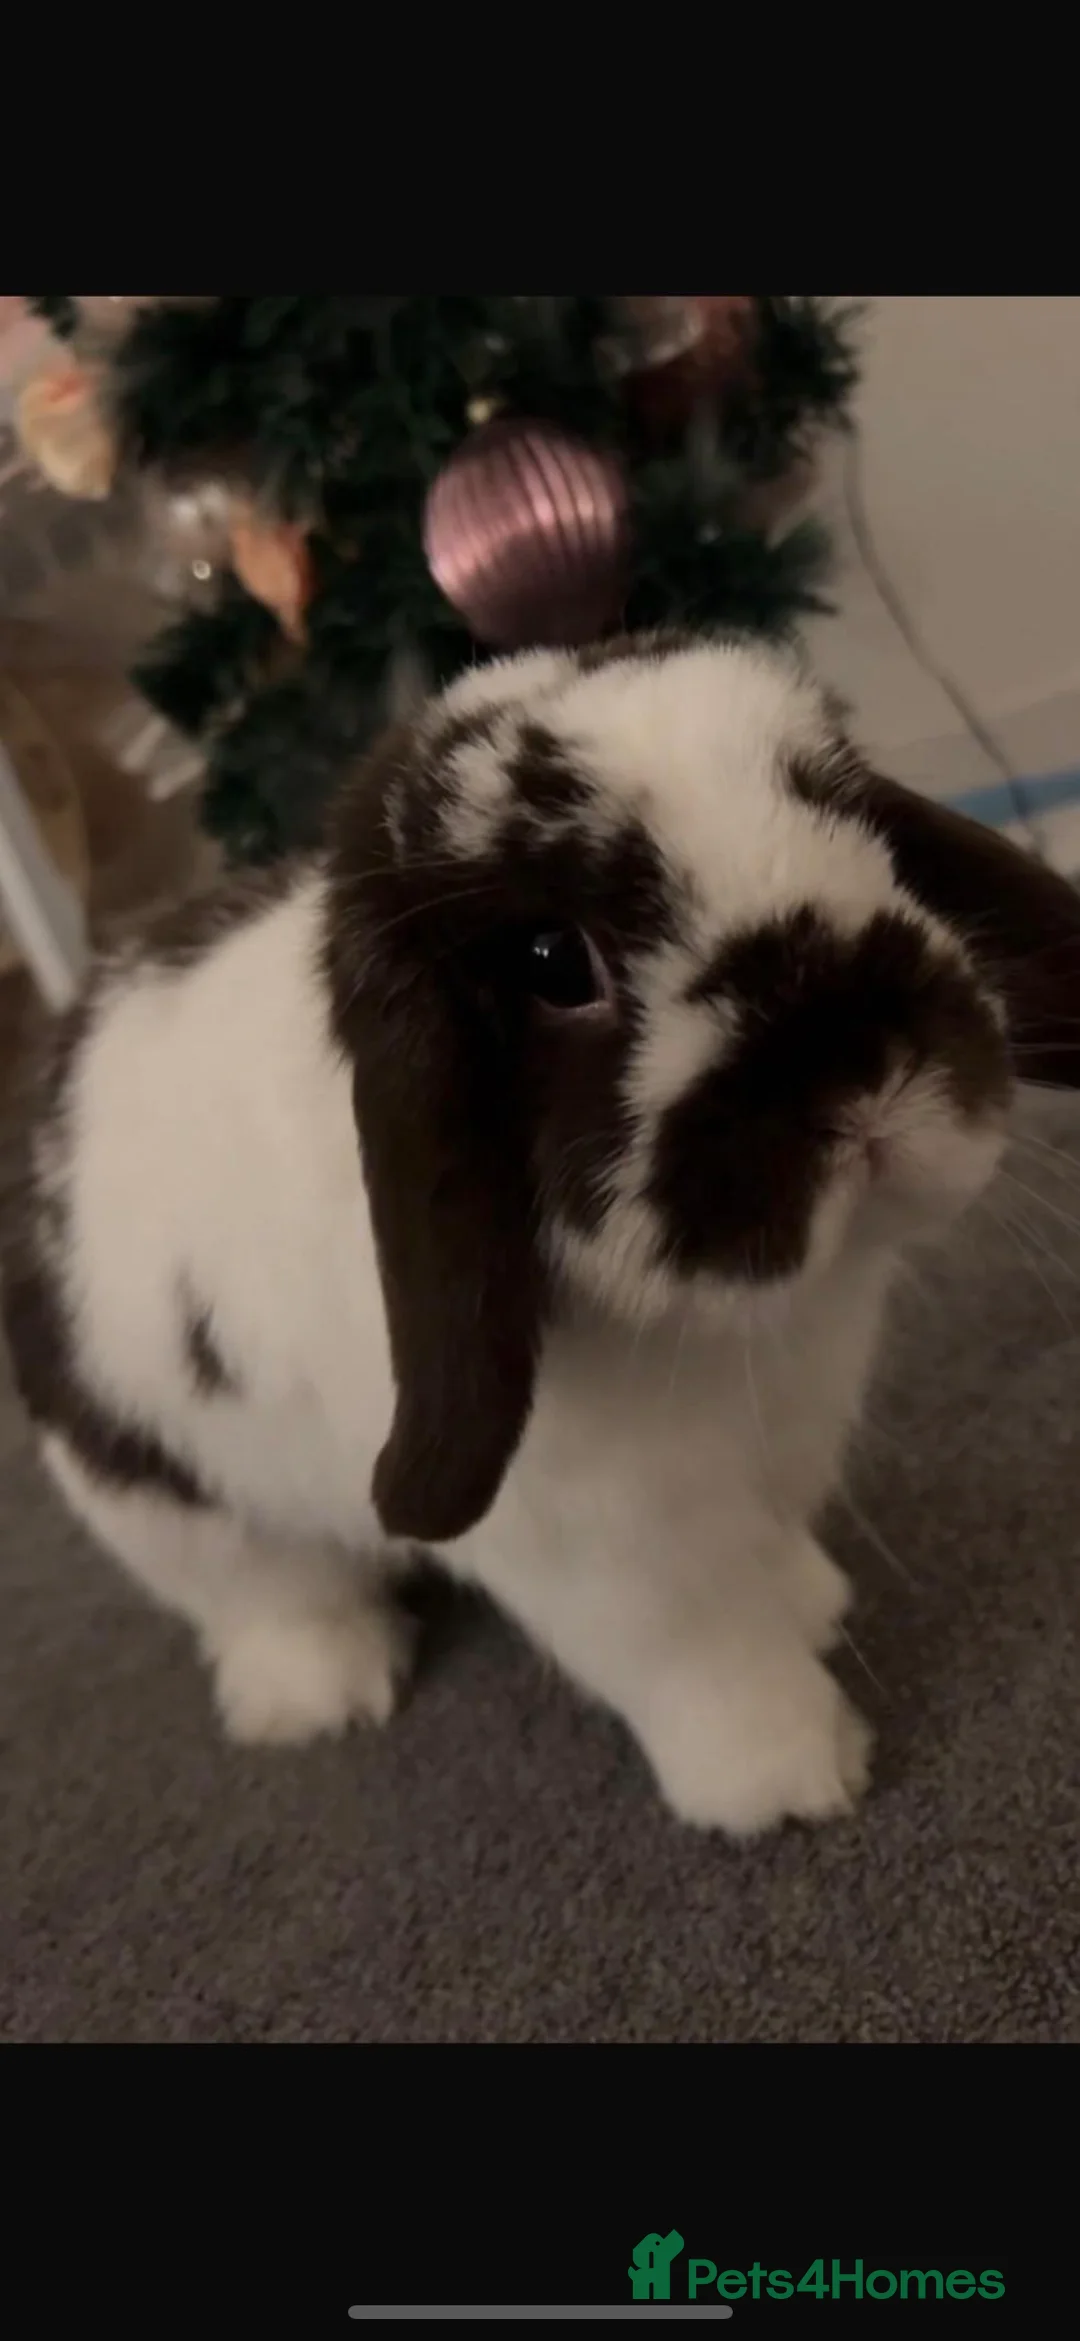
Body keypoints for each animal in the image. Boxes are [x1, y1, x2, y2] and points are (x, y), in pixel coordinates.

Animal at [3, 627, 1076, 1836]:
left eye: (854, 821)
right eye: (555, 962)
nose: (858, 1057)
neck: (735, 1334)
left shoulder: (781, 1454)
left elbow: (769, 1566)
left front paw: (816, 1602)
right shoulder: (609, 1550)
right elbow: (707, 1659)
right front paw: (789, 1781)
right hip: (163, 1496)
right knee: (266, 1596)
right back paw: (323, 1696)